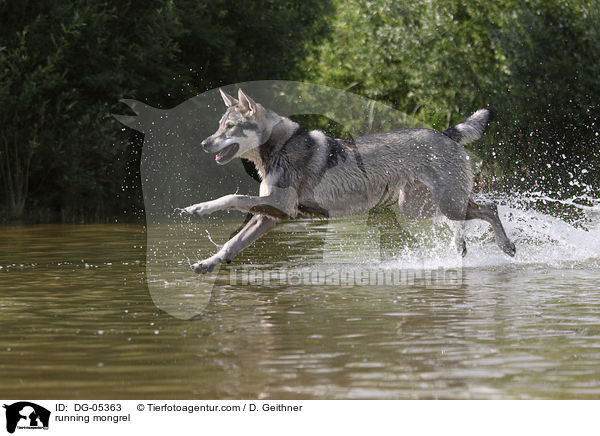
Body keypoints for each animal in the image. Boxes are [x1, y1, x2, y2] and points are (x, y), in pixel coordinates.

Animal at [180, 87, 512, 272]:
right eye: (219, 126)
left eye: (230, 128)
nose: (203, 144)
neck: (278, 148)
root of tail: (444, 133)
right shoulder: (270, 216)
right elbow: (231, 244)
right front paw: (208, 264)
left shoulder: (281, 206)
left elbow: (230, 197)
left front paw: (197, 209)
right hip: (420, 208)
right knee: (472, 214)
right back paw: (461, 246)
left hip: (442, 205)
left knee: (490, 208)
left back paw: (506, 246)